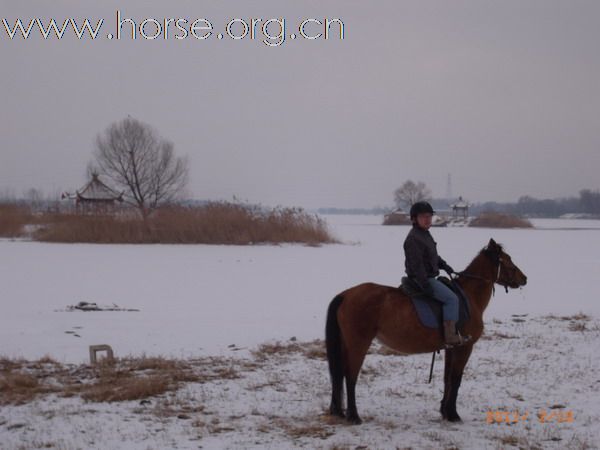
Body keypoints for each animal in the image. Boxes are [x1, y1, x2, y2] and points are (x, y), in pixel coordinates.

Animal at [326, 239, 528, 426]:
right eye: (507, 260)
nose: (525, 278)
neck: (469, 296)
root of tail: (346, 295)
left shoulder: (451, 348)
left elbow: (447, 379)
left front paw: (445, 412)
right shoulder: (464, 348)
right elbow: (456, 379)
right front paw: (453, 415)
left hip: (345, 343)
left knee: (339, 375)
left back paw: (339, 411)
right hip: (358, 344)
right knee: (350, 376)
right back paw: (354, 416)